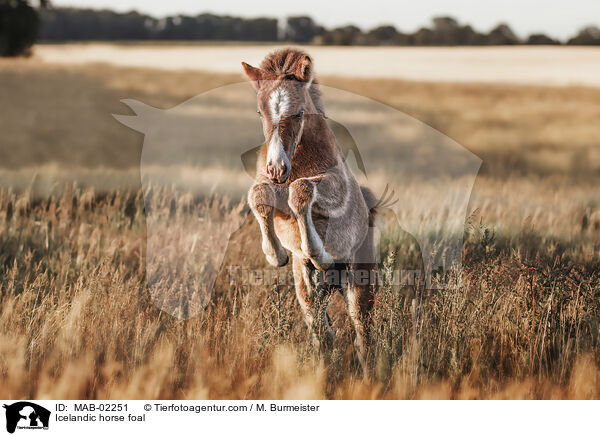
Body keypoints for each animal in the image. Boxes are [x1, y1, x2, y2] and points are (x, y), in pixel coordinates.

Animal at [243, 48, 376, 374]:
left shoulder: (335, 189)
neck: (300, 160)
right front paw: (275, 253)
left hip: (358, 280)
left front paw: (318, 252)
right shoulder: (271, 190)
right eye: (260, 113)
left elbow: (301, 190)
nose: (277, 167)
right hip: (307, 290)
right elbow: (260, 194)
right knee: (323, 334)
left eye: (300, 112)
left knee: (362, 331)